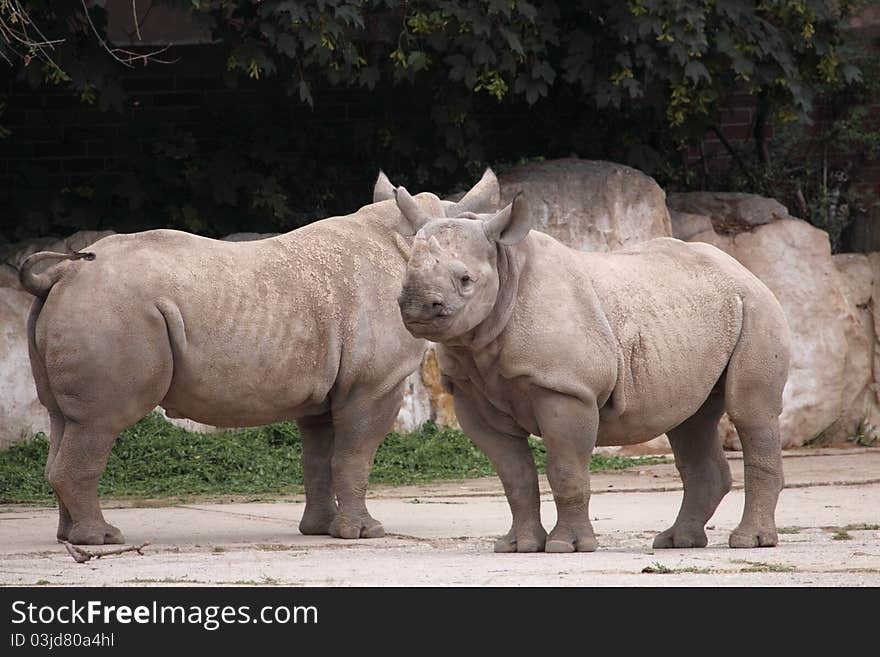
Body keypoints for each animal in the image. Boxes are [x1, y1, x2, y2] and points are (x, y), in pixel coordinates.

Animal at [20, 169, 498, 544]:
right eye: (465, 278)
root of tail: (61, 274)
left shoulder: (325, 389)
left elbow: (319, 458)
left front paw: (320, 531)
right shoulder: (374, 384)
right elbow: (355, 454)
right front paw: (364, 533)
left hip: (85, 307)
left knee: (63, 419)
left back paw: (70, 538)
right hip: (113, 311)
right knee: (100, 422)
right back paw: (104, 539)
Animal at [392, 187, 792, 552]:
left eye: (465, 280)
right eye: (405, 271)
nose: (415, 305)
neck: (506, 270)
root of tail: (744, 270)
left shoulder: (566, 388)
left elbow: (566, 469)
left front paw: (565, 546)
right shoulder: (471, 391)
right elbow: (513, 475)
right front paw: (518, 546)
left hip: (757, 308)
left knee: (750, 412)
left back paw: (749, 541)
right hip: (700, 315)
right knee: (690, 419)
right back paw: (677, 542)